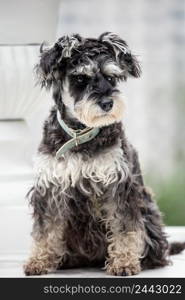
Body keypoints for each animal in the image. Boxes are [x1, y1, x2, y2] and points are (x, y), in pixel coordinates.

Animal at [23, 31, 184, 276]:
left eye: (111, 78)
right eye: (80, 78)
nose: (108, 103)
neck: (80, 133)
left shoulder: (118, 185)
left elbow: (124, 227)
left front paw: (124, 262)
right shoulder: (50, 187)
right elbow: (45, 228)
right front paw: (39, 260)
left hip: (148, 213)